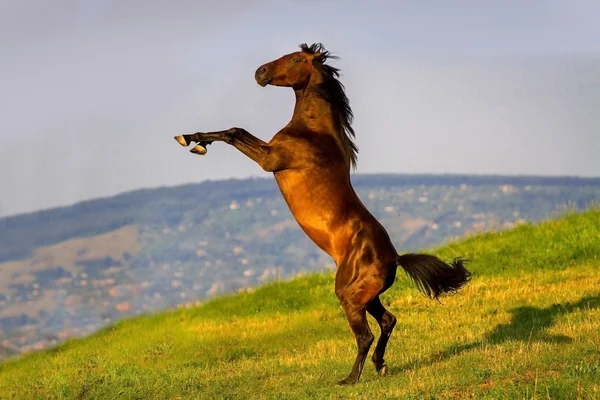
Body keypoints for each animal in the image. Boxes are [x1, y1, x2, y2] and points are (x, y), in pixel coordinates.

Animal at [175, 43, 474, 384]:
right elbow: (233, 130)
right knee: (388, 321)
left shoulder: (270, 158)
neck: (312, 131)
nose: (260, 72)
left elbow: (235, 131)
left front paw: (192, 141)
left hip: (349, 296)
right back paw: (380, 365)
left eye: (295, 59)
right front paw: (192, 139)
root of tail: (394, 258)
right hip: (366, 297)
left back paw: (350, 379)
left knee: (366, 335)